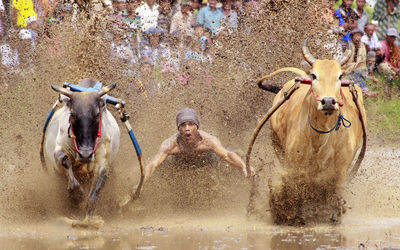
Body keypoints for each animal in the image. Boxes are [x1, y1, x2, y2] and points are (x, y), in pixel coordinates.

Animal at [264, 40, 368, 225]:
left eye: (339, 76)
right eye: (314, 75)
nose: (328, 101)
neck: (320, 137)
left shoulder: (342, 165)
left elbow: (335, 187)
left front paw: (334, 214)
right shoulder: (294, 163)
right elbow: (297, 186)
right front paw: (295, 215)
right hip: (277, 145)